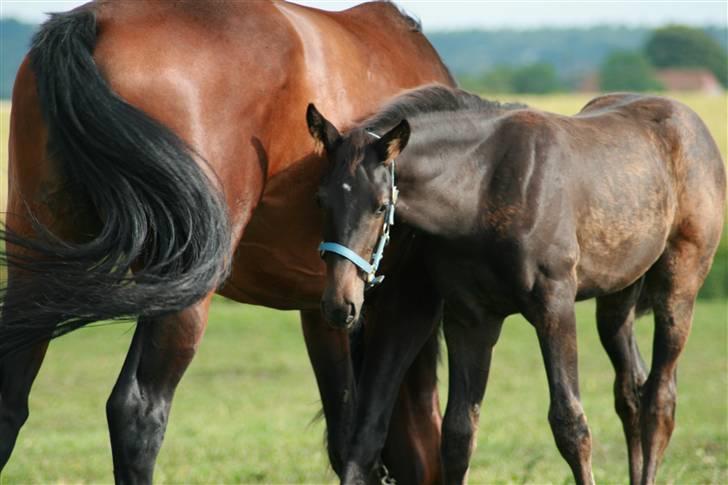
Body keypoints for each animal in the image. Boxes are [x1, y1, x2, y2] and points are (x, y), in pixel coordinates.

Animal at [0, 1, 456, 482]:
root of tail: (91, 23)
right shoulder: (397, 302)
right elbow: (363, 434)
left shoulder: (324, 306)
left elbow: (344, 428)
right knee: (137, 409)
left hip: (37, 267)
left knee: (9, 401)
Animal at [310, 85, 724, 482]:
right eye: (321, 200)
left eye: (381, 205)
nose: (340, 304)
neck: (483, 187)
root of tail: (694, 124)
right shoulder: (470, 320)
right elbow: (458, 434)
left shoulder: (554, 305)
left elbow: (570, 423)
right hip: (618, 295)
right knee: (630, 391)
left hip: (680, 281)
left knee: (660, 398)